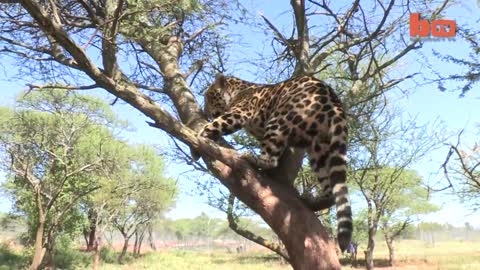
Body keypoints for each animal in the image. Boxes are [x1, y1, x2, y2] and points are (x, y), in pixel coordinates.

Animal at [199, 73, 352, 252]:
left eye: (209, 96)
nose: (205, 112)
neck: (237, 90)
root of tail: (334, 102)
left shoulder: (239, 112)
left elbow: (216, 124)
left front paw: (199, 135)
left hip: (279, 119)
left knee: (271, 159)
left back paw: (253, 158)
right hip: (319, 147)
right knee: (329, 189)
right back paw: (313, 201)